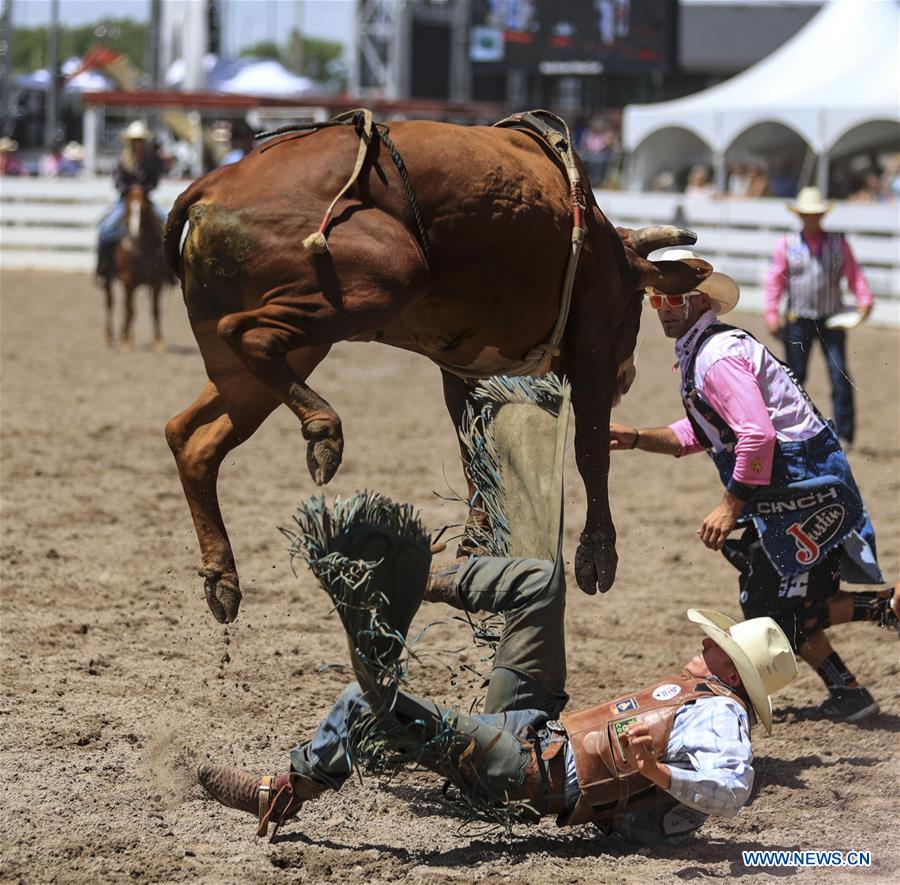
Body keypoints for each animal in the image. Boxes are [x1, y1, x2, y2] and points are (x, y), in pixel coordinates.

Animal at [104, 185, 170, 350]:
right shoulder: (128, 279)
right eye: (128, 208)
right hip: (108, 279)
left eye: (145, 208)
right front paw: (127, 340)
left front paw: (158, 340)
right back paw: (110, 336)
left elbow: (155, 309)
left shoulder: (157, 280)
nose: (132, 237)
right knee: (111, 302)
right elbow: (130, 309)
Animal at [163, 112, 712, 620]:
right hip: (386, 275)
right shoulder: (592, 342)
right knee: (245, 334)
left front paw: (472, 548)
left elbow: (476, 453)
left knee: (191, 437)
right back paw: (324, 431)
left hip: (271, 357)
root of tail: (213, 186)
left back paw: (222, 577)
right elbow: (591, 448)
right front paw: (597, 555)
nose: (628, 377)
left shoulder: (461, 367)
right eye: (637, 306)